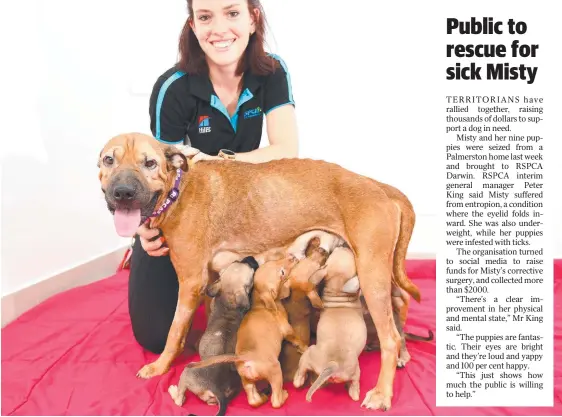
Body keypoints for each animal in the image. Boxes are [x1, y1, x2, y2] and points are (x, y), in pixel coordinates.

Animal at [164, 255, 256, 414]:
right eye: (236, 261)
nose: (251, 258)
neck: (229, 301)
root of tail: (216, 388)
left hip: (187, 372)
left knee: (179, 401)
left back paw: (174, 391)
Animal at [184, 255, 306, 408]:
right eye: (282, 273)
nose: (292, 256)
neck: (260, 303)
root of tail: (244, 358)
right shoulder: (287, 330)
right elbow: (298, 340)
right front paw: (305, 347)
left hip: (247, 382)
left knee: (253, 400)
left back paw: (262, 397)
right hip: (275, 372)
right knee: (275, 400)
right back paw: (282, 395)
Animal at [290, 245, 366, 402]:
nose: (343, 245)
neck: (338, 290)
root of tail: (333, 365)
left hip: (310, 352)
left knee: (301, 369)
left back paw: (298, 380)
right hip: (354, 370)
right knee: (355, 382)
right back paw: (354, 393)